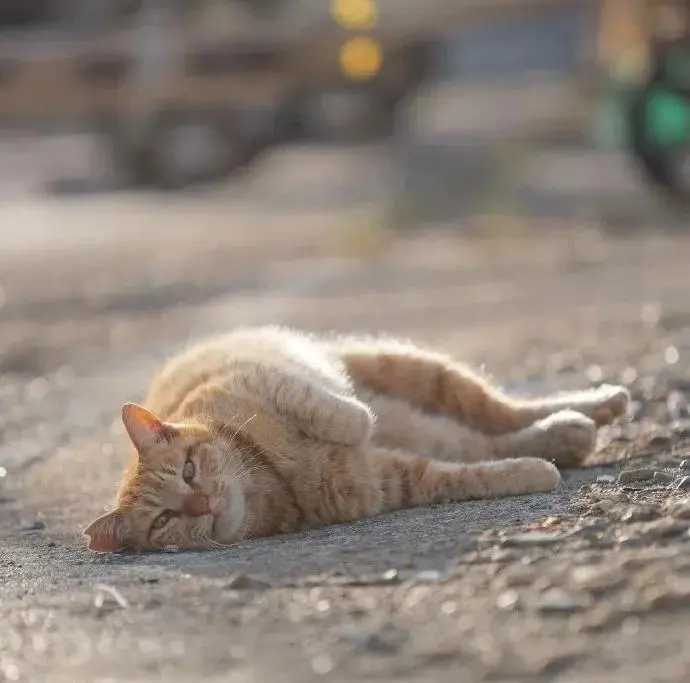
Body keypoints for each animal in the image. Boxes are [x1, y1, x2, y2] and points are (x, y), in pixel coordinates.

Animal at [82, 324, 628, 552]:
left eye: (190, 469)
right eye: (164, 521)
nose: (202, 504)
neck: (271, 480)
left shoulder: (267, 378)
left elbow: (335, 411)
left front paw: (358, 419)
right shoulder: (390, 481)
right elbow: (471, 476)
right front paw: (533, 473)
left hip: (419, 369)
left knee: (500, 408)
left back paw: (601, 401)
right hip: (440, 425)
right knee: (490, 439)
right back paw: (569, 434)